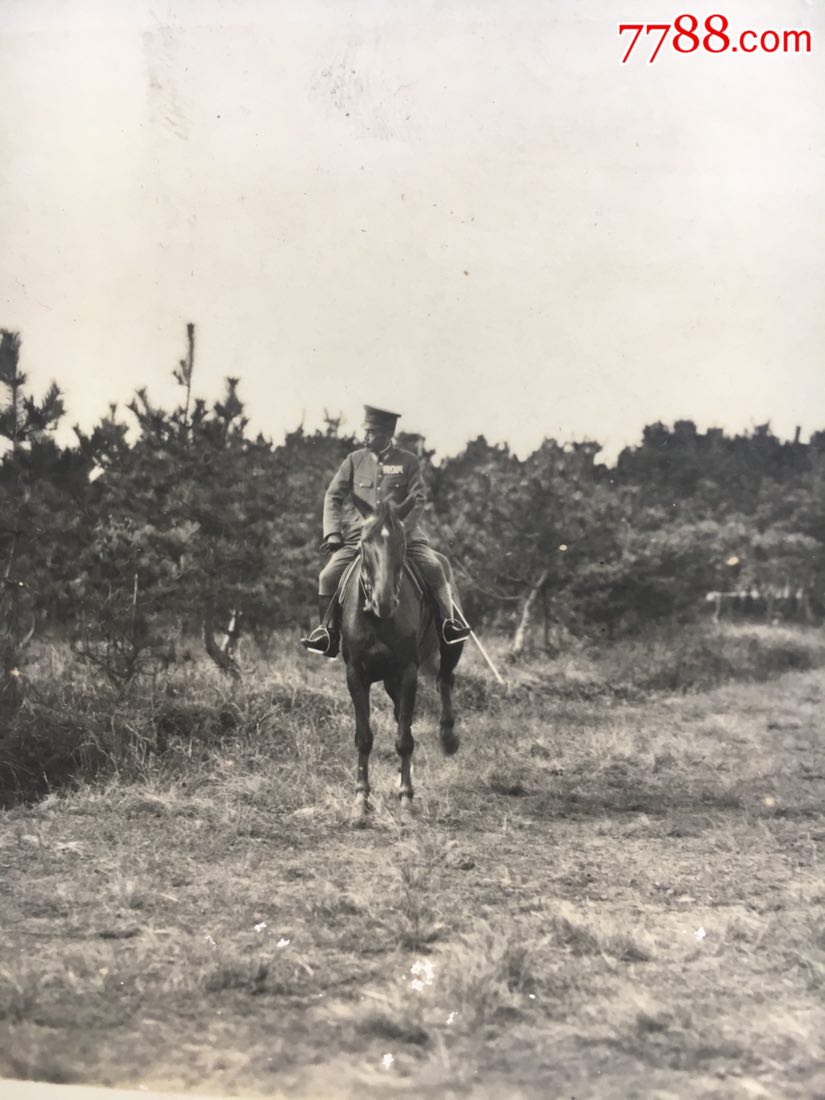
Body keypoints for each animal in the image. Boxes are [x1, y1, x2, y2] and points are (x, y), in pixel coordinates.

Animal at [341, 499, 466, 818]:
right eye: (364, 541)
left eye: (403, 543)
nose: (384, 602)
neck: (377, 620)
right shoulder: (355, 674)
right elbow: (364, 737)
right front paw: (361, 799)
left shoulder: (408, 672)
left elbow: (405, 739)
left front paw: (407, 796)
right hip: (388, 679)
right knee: (401, 713)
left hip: (449, 648)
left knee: (444, 681)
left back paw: (448, 738)